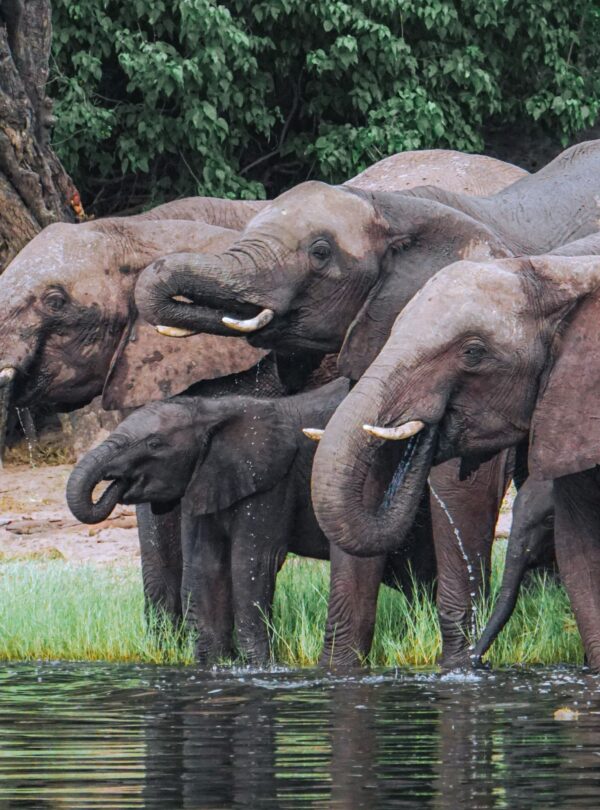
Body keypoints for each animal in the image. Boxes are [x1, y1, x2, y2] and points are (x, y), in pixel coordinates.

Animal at [65, 377, 436, 665]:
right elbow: (205, 565)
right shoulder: (207, 478)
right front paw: (215, 665)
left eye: (155, 443)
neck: (212, 412)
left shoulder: (271, 481)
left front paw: (261, 667)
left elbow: (252, 563)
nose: (113, 484)